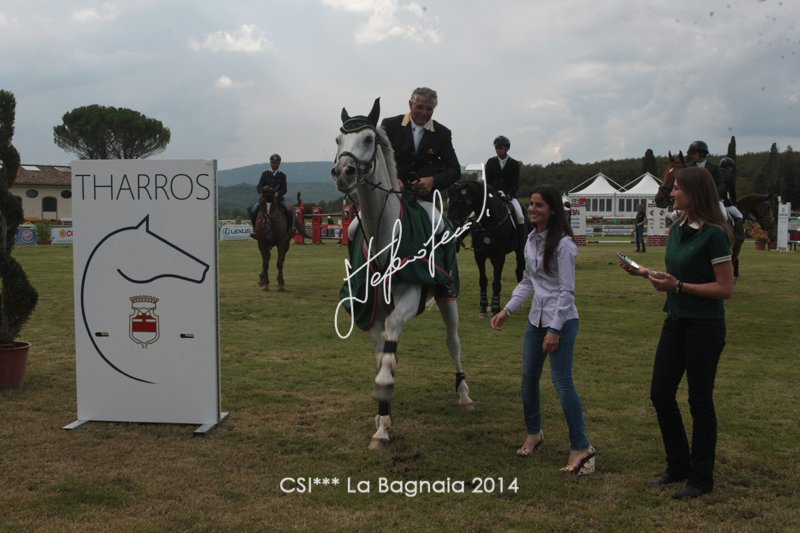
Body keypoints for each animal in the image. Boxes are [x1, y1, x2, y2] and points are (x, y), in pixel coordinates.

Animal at [331, 97, 474, 449]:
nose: (343, 173)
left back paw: (464, 393)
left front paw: (385, 383)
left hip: (448, 298)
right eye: (338, 140)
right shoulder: (369, 308)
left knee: (453, 342)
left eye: (368, 139)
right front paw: (383, 421)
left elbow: (394, 330)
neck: (384, 234)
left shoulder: (409, 295)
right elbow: (382, 349)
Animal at [447, 180, 518, 317]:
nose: (452, 225)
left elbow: (496, 281)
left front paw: (495, 307)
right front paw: (484, 306)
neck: (489, 222)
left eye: (457, 201)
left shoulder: (500, 255)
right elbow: (483, 280)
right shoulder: (479, 255)